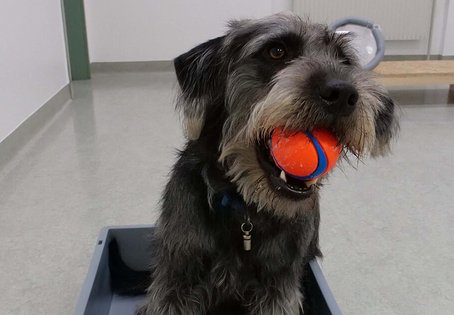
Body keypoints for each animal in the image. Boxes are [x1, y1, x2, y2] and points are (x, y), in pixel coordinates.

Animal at [111, 12, 398, 315]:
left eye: (345, 61)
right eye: (277, 51)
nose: (343, 93)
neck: (246, 211)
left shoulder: (279, 290)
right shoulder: (175, 282)